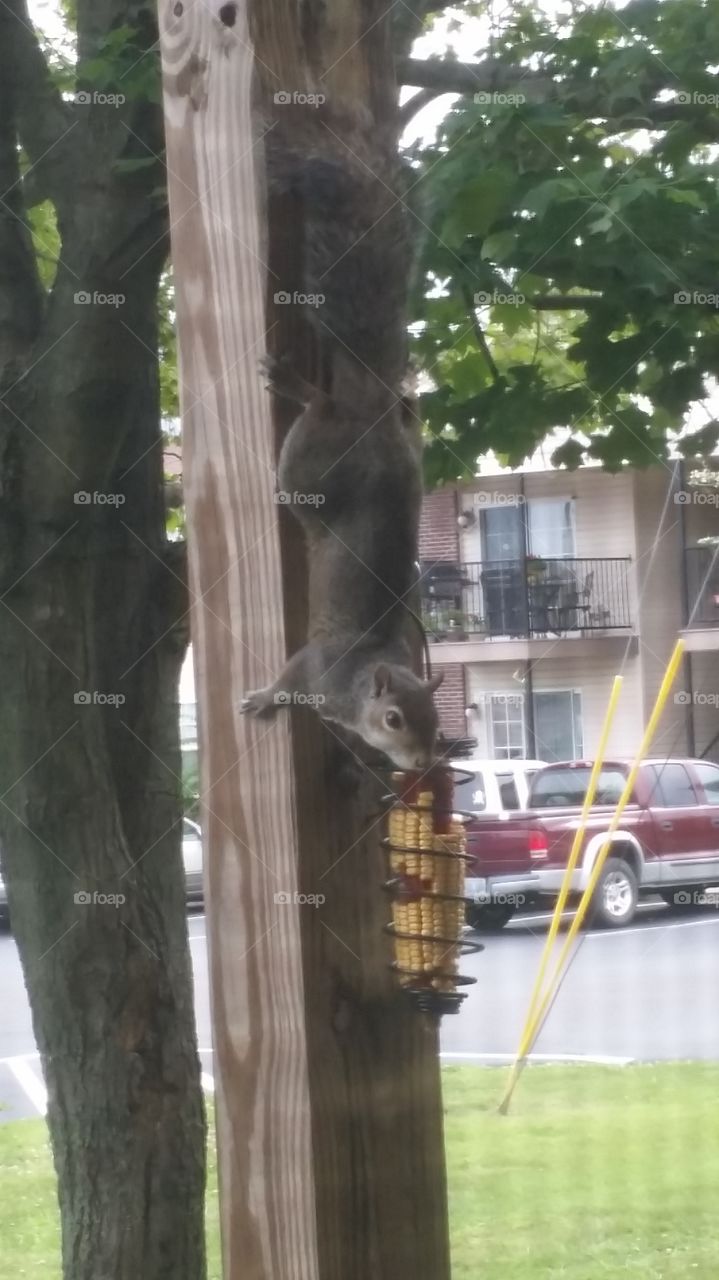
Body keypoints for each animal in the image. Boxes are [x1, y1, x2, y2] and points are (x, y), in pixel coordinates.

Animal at [241, 105, 443, 769]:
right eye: (393, 718)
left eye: (437, 721)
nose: (422, 763)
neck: (361, 681)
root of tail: (371, 412)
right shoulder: (316, 672)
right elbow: (288, 681)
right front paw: (265, 700)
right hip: (307, 466)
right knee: (319, 406)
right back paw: (298, 386)